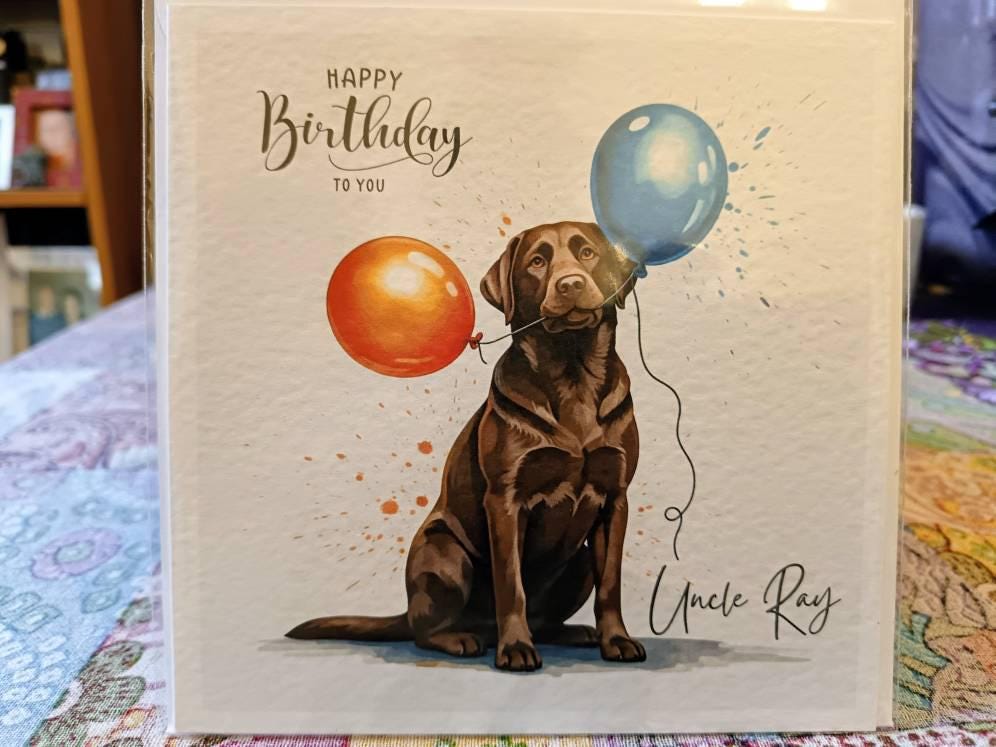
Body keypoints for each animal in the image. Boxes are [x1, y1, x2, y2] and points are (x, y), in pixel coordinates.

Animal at [288, 221, 644, 671]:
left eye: (587, 253)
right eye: (537, 261)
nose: (570, 284)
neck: (572, 371)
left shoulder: (615, 497)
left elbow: (610, 582)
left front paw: (617, 639)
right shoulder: (505, 500)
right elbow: (511, 583)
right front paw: (516, 648)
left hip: (577, 561)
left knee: (548, 617)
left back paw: (573, 632)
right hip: (444, 553)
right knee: (424, 630)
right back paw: (462, 638)